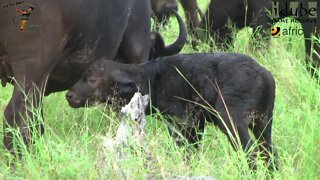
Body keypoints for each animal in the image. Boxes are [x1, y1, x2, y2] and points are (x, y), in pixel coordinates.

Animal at [66, 52, 276, 168]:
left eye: (92, 79)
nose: (69, 95)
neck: (153, 79)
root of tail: (264, 75)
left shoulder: (181, 123)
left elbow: (185, 151)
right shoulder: (196, 124)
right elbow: (193, 152)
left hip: (232, 119)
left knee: (250, 151)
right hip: (263, 122)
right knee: (269, 153)